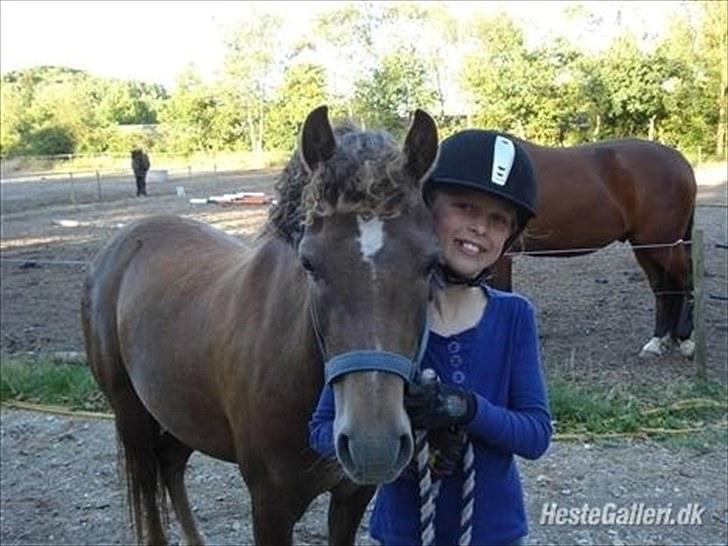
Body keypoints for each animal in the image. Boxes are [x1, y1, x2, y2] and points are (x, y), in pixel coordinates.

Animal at [82, 105, 440, 540]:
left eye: (430, 263)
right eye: (309, 262)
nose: (374, 444)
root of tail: (118, 247)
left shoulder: (352, 496)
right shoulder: (271, 505)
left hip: (186, 413)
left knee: (170, 463)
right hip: (130, 415)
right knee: (149, 488)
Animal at [492, 136, 696, 356]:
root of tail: (679, 160)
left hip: (662, 244)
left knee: (685, 280)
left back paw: (686, 340)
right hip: (646, 246)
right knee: (663, 288)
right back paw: (659, 341)